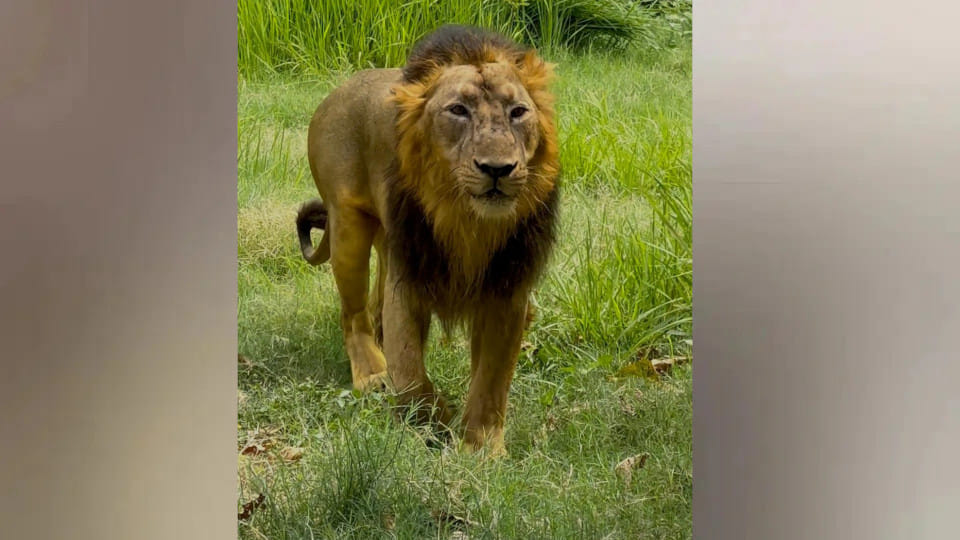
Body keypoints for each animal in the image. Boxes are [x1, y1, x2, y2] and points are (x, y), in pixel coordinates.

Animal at [295, 25, 559, 454]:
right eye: (458, 110)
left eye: (518, 112)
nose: (498, 169)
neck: (466, 221)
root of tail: (338, 90)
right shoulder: (409, 278)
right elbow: (409, 370)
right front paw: (435, 419)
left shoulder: (508, 288)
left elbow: (492, 378)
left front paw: (482, 448)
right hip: (349, 226)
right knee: (354, 315)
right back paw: (372, 375)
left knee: (374, 308)